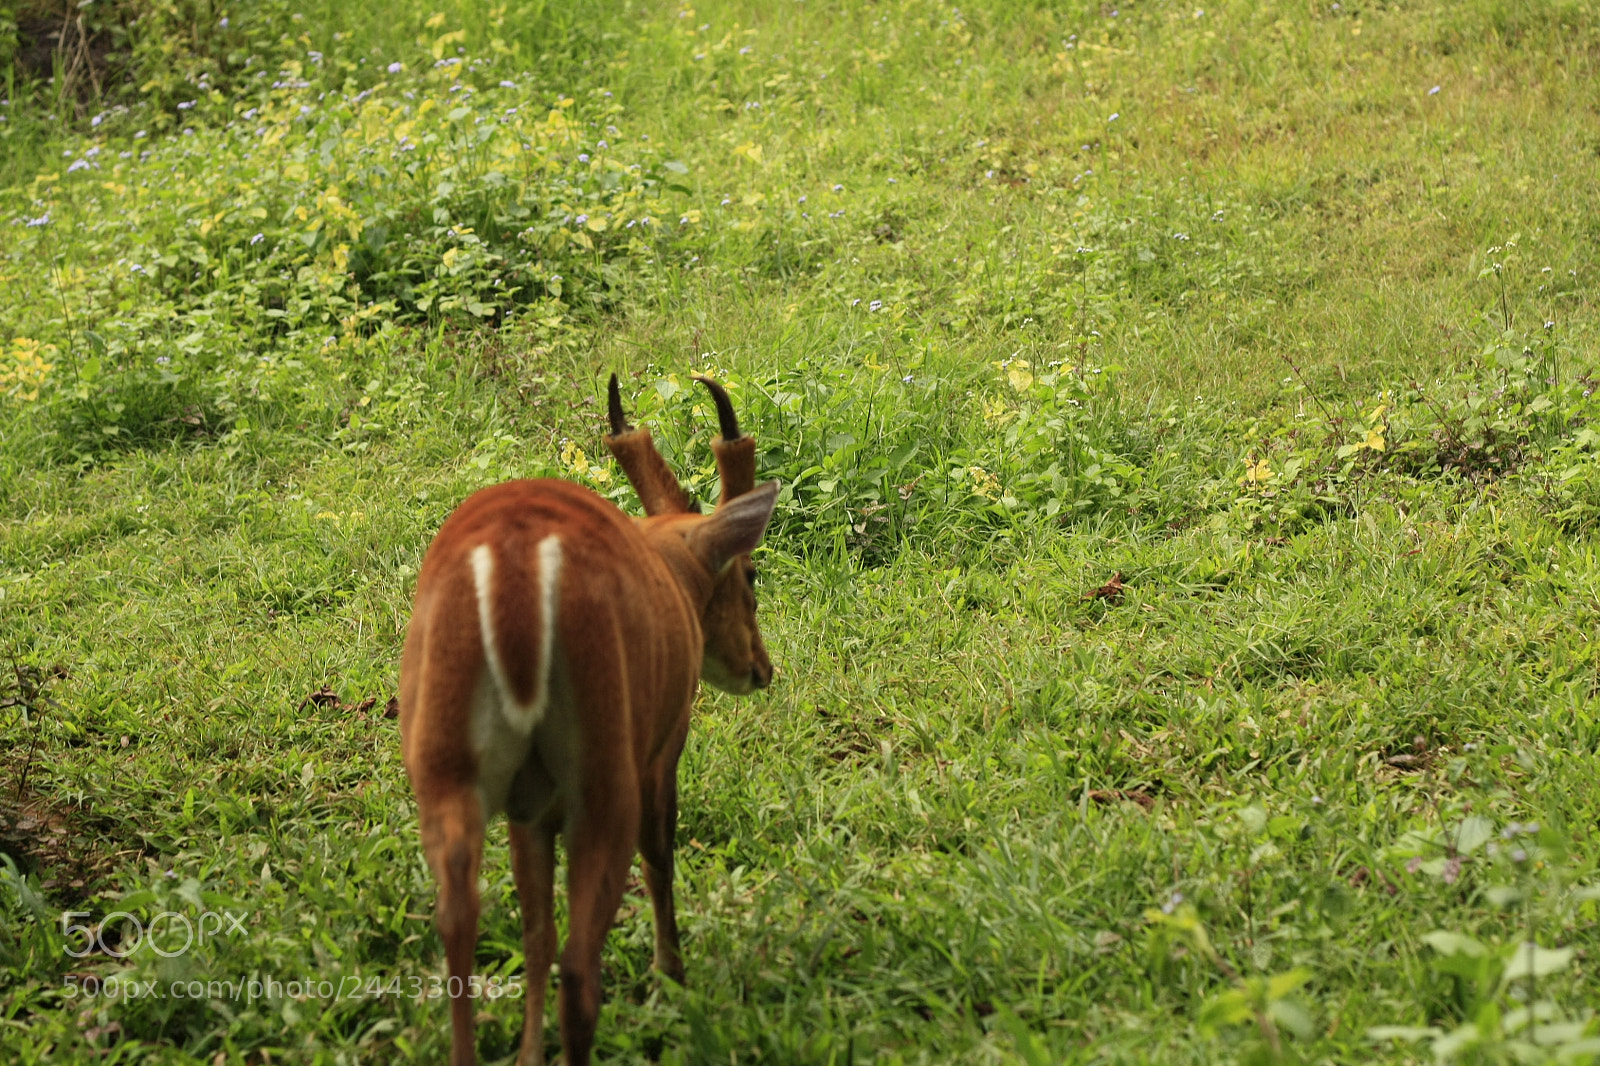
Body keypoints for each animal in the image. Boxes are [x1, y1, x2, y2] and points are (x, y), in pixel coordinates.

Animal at [398, 374, 778, 1066]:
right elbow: (660, 857)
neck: (673, 566)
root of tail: (517, 573)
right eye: (751, 572)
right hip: (604, 772)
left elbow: (535, 932)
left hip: (443, 763)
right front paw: (671, 975)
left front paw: (527, 1054)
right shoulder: (662, 745)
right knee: (580, 971)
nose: (761, 668)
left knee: (459, 923)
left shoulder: (528, 808)